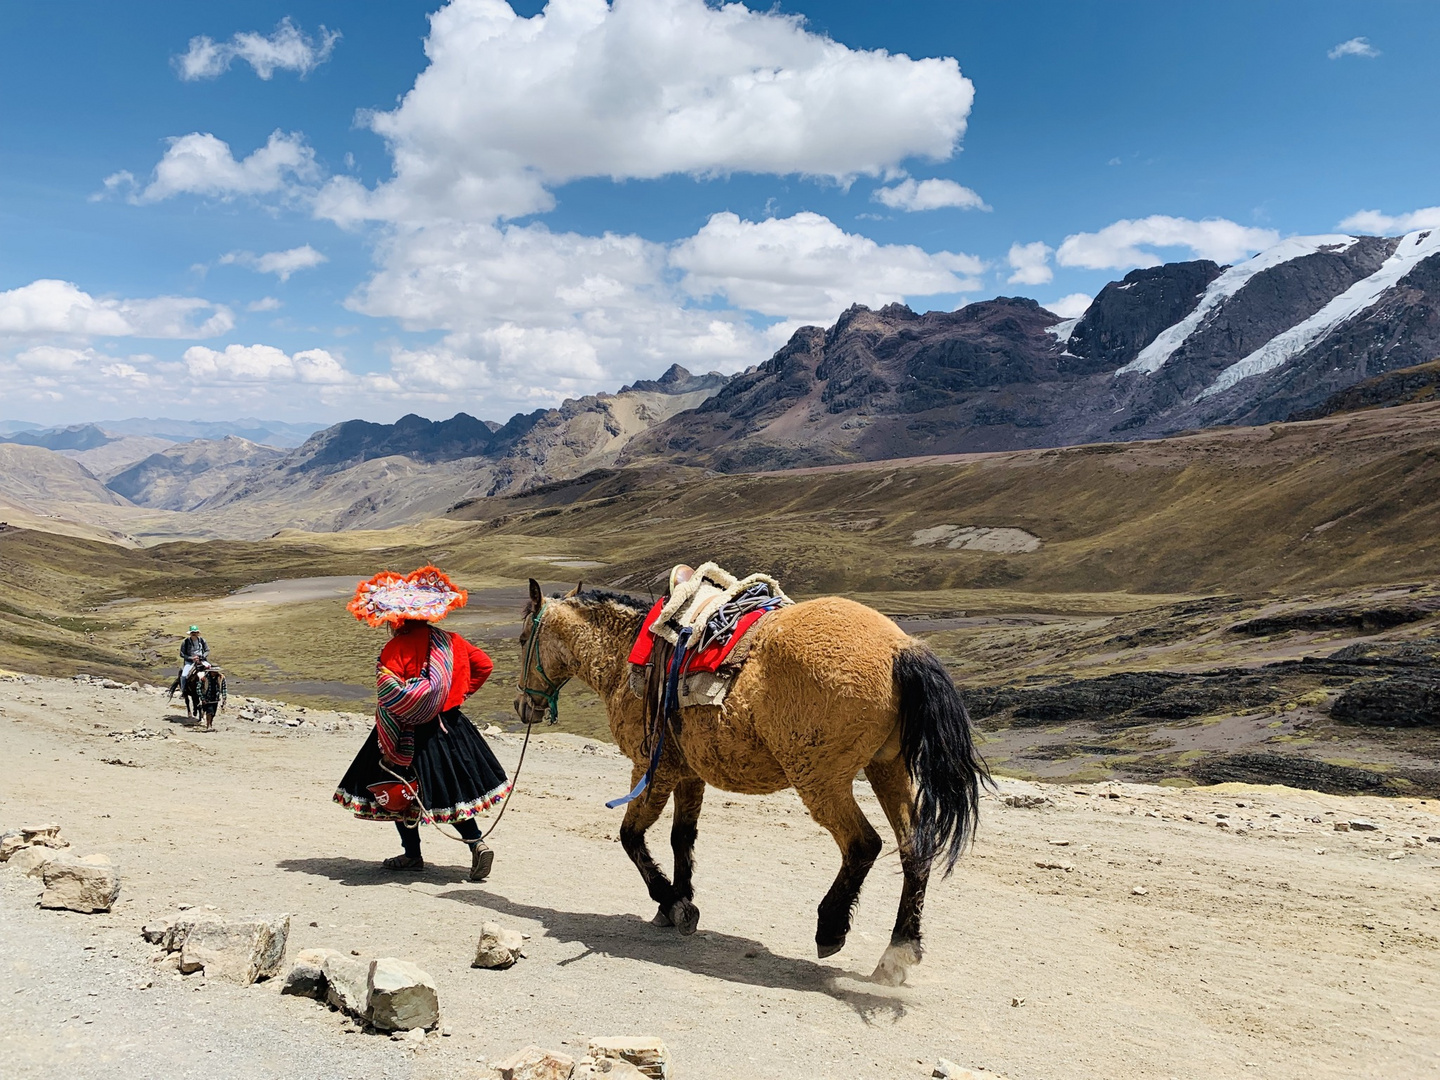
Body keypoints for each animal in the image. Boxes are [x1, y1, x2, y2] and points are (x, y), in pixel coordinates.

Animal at [512, 584, 984, 990]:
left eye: (521, 640)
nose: (522, 705)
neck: (628, 656)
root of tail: (900, 649)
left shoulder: (652, 769)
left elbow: (630, 837)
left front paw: (671, 901)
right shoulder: (689, 774)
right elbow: (681, 838)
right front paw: (679, 904)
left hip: (821, 779)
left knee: (863, 844)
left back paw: (830, 929)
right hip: (888, 768)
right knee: (914, 849)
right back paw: (897, 953)